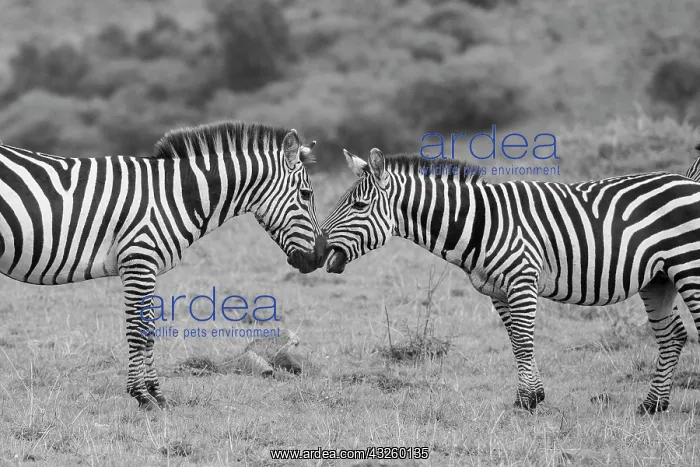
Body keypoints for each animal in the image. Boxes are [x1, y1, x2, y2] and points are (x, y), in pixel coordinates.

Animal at [0, 121, 325, 410]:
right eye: (306, 194)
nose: (321, 256)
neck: (174, 197)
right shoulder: (139, 261)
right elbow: (138, 331)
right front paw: (142, 397)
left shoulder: (147, 267)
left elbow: (150, 330)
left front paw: (156, 394)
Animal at [320, 147, 700, 414]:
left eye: (359, 205)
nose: (317, 249)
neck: (480, 223)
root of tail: (689, 181)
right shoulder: (497, 291)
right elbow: (516, 342)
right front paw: (531, 396)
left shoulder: (522, 281)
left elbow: (524, 341)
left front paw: (528, 400)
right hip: (659, 278)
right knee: (673, 335)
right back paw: (652, 405)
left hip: (689, 266)